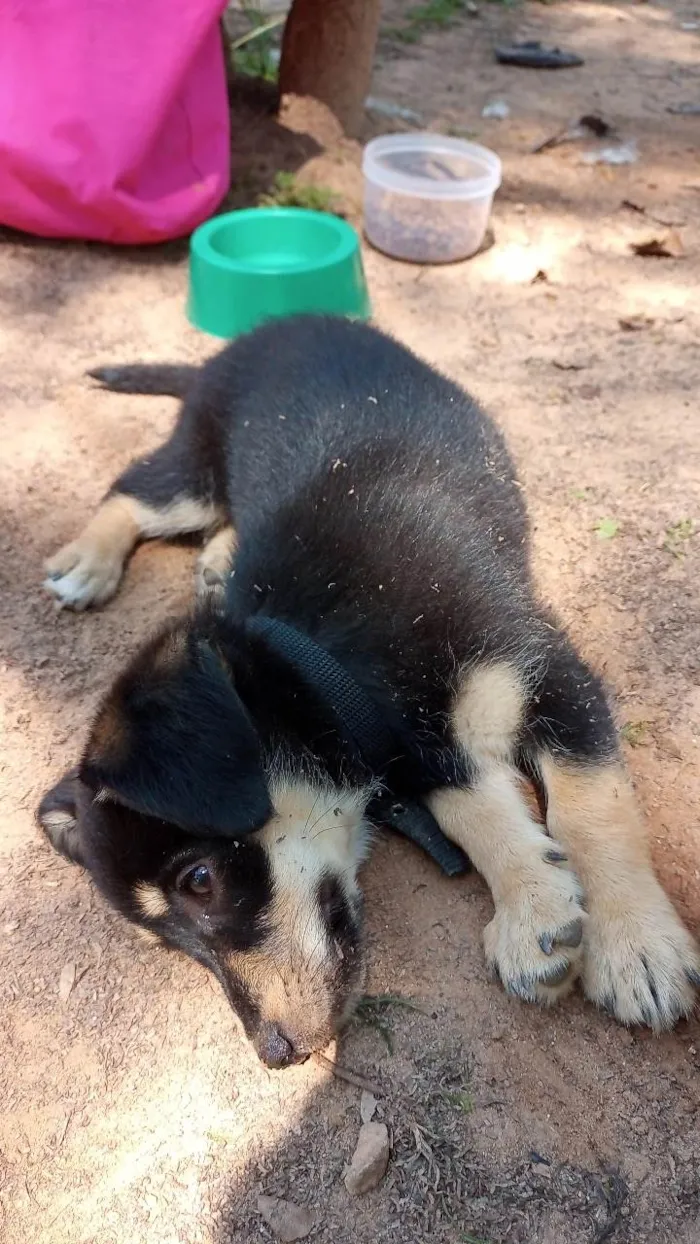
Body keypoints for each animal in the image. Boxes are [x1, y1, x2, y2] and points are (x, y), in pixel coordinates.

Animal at [39, 315, 700, 1064]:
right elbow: (468, 806)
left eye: (199, 882)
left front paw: (635, 945)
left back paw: (109, 563)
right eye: (164, 939)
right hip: (201, 464)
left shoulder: (551, 676)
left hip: (196, 472)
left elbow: (592, 808)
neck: (328, 652)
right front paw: (535, 903)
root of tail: (267, 330)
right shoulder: (417, 744)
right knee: (142, 492)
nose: (274, 1053)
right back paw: (125, 561)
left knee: (138, 487)